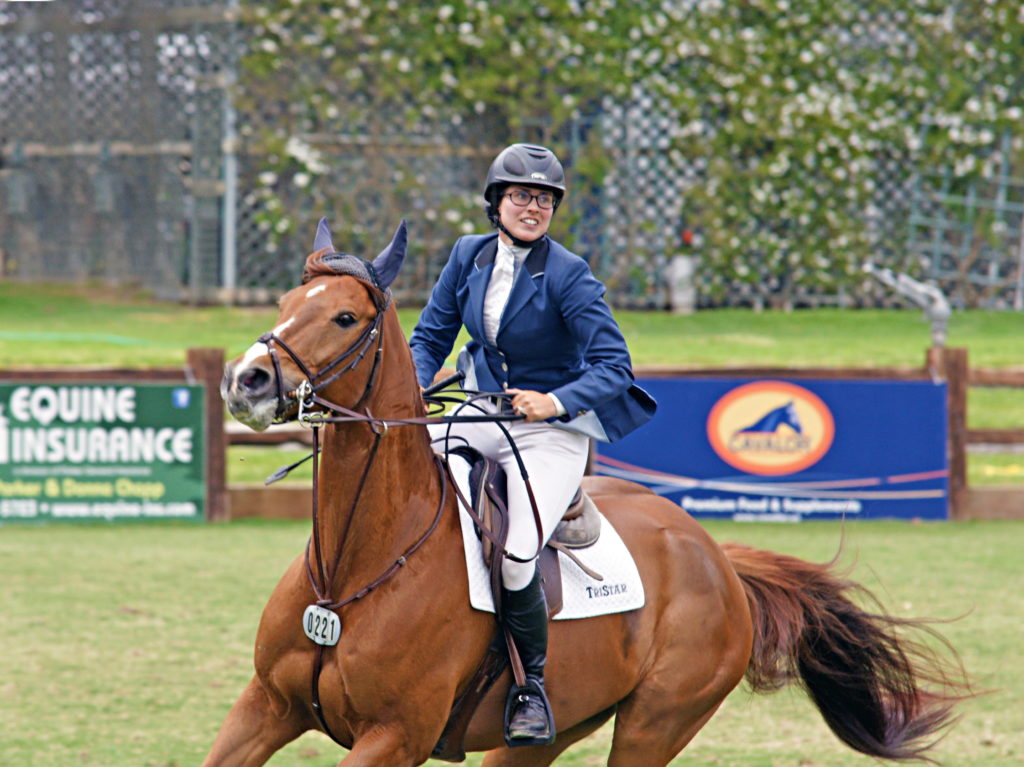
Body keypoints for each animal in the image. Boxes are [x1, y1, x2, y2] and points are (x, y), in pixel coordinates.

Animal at [209, 218, 966, 761]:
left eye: (344, 317)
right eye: (286, 302)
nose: (245, 380)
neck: (358, 561)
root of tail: (716, 555)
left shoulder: (394, 736)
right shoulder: (263, 707)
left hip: (655, 724)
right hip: (547, 734)